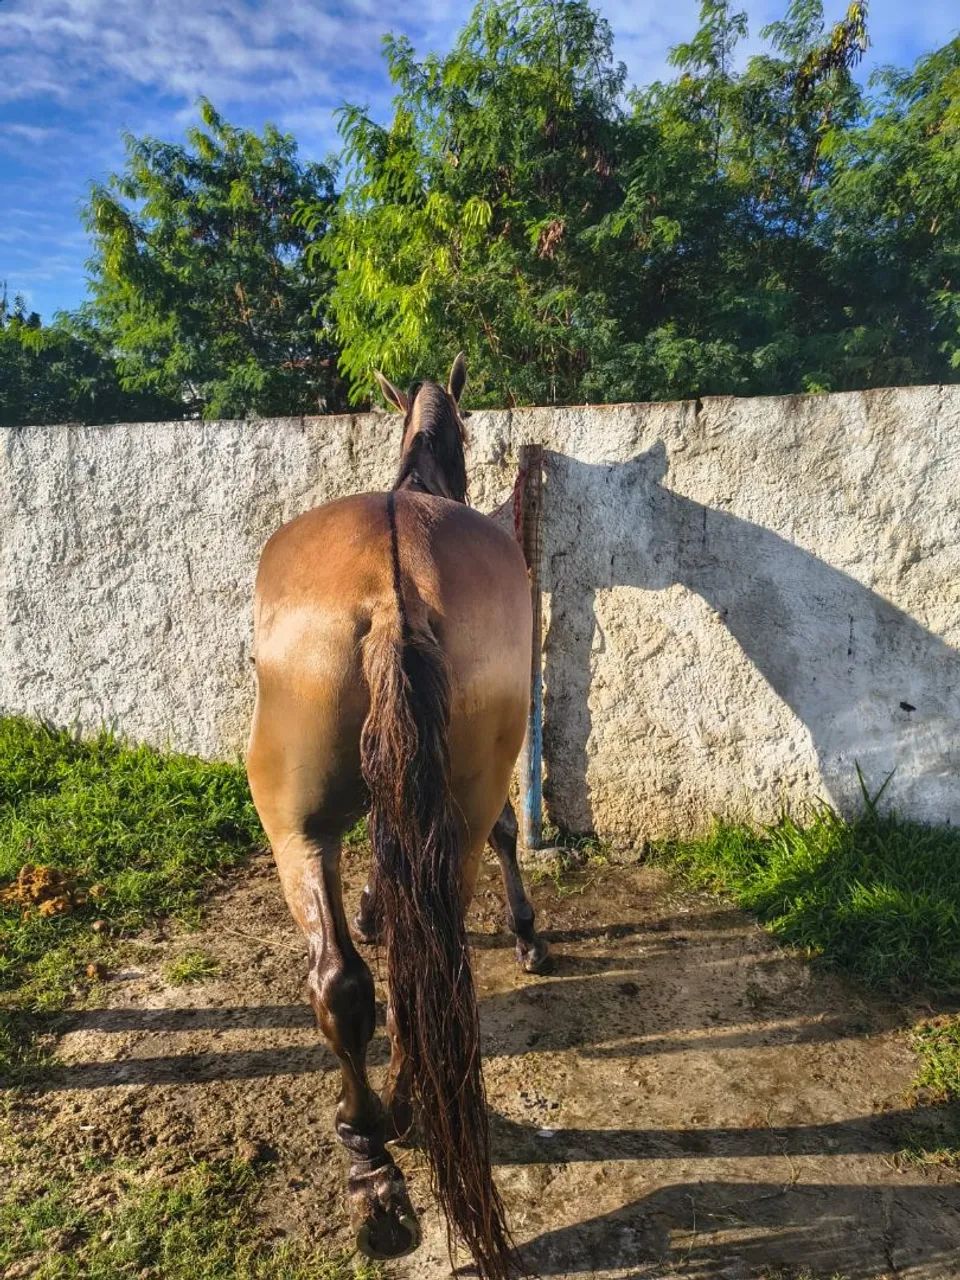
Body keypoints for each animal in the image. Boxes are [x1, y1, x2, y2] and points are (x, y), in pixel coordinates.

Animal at [246, 353, 549, 1280]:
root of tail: (393, 581)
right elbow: (498, 838)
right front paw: (528, 933)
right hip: (446, 799)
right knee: (420, 966)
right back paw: (393, 1128)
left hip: (296, 824)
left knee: (345, 983)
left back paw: (372, 1161)